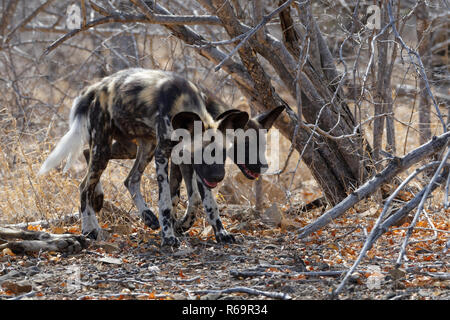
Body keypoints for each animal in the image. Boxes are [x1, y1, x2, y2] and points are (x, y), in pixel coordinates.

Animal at [38, 68, 248, 248]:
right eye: (202, 153)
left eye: (224, 152)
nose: (218, 177)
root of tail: (96, 87)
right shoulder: (163, 155)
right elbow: (166, 202)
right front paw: (169, 236)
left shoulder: (187, 162)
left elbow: (204, 202)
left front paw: (218, 232)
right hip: (107, 149)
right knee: (84, 185)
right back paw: (90, 229)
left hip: (137, 147)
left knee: (124, 176)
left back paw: (145, 215)